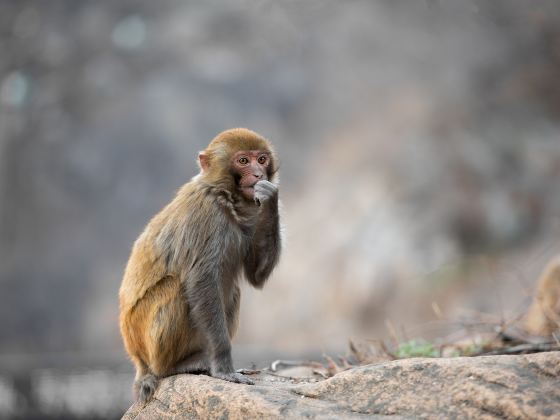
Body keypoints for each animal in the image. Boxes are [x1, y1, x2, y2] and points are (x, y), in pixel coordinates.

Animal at [120, 129, 282, 404]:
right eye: (243, 161)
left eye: (261, 159)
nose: (258, 174)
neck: (224, 196)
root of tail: (137, 358)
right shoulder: (205, 216)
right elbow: (201, 280)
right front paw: (224, 368)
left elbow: (255, 275)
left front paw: (270, 197)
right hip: (144, 337)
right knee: (176, 287)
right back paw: (176, 366)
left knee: (233, 290)